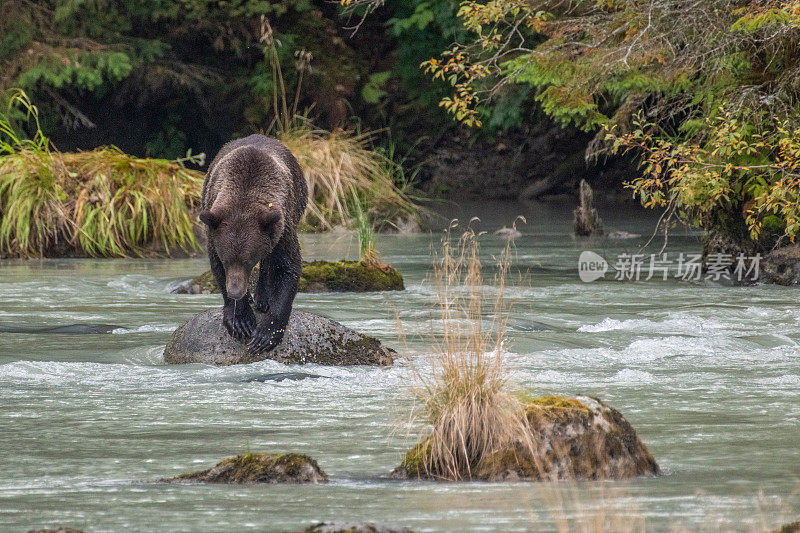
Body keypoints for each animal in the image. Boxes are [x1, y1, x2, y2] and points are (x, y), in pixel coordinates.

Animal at [198, 134, 308, 354]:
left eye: (249, 261)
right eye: (226, 260)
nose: (235, 291)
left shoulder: (282, 227)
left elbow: (287, 268)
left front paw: (266, 334)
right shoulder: (214, 232)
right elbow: (216, 267)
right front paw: (240, 320)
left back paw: (262, 298)